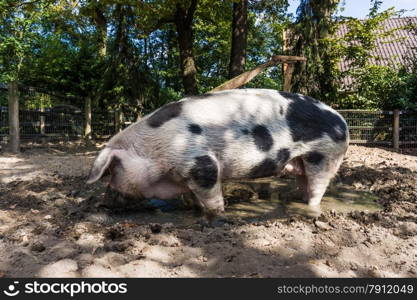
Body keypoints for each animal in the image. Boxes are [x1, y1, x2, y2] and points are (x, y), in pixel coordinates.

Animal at [87, 89, 348, 220]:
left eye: (113, 172)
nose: (102, 203)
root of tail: (342, 120)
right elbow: (194, 198)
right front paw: (196, 211)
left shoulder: (202, 164)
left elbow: (212, 196)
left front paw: (218, 215)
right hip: (305, 161)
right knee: (304, 182)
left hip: (324, 156)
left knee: (317, 188)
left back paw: (311, 208)